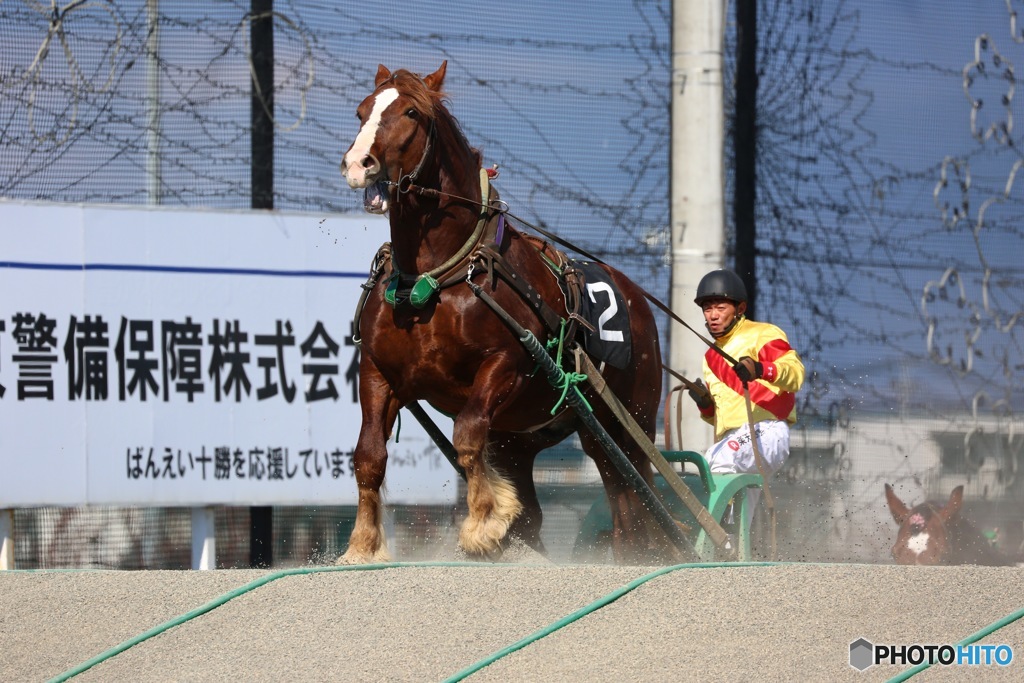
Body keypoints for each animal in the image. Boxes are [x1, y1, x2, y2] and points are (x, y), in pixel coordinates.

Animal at [335, 62, 663, 565]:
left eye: (411, 112)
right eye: (361, 111)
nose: (358, 164)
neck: (437, 276)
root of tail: (637, 297)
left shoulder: (507, 363)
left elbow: (468, 435)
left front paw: (483, 523)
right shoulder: (377, 371)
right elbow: (368, 456)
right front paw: (363, 544)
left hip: (629, 421)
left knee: (636, 492)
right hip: (528, 437)